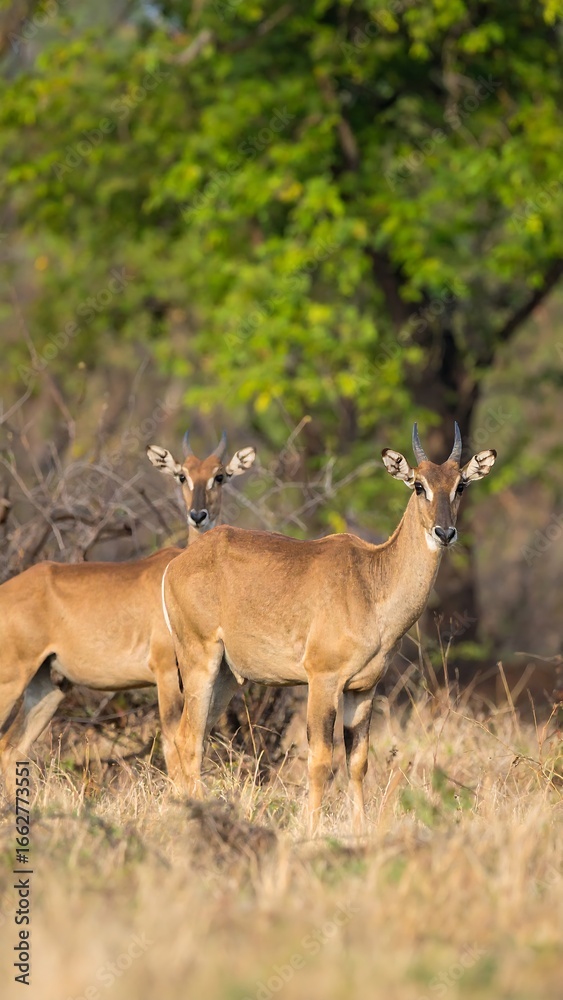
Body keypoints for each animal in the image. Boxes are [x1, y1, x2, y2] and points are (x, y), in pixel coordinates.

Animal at [0, 432, 256, 799]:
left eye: (220, 475)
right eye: (182, 475)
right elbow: (171, 743)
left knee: (12, 747)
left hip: (48, 687)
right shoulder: (165, 674)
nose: (198, 514)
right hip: (11, 677)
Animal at [162, 423, 496, 833]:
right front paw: (311, 830)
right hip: (200, 662)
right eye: (419, 484)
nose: (444, 532)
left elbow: (358, 762)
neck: (370, 578)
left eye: (460, 484)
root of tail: (176, 565)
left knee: (195, 738)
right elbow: (321, 759)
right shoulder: (322, 680)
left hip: (226, 677)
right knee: (186, 739)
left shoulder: (363, 689)